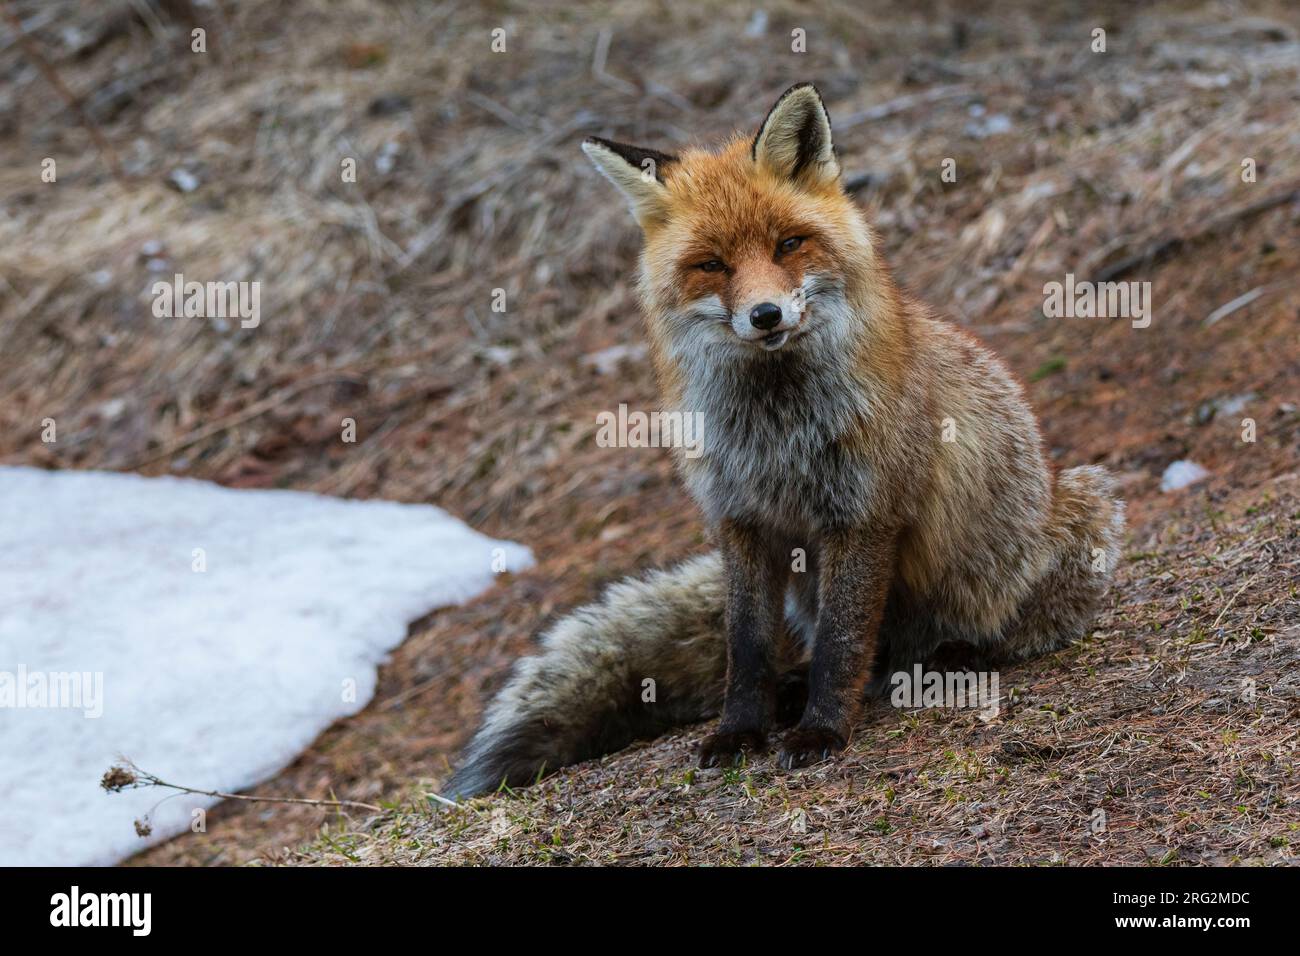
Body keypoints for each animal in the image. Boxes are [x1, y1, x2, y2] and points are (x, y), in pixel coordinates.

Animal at [444, 83, 1118, 801]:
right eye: (712, 265)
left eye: (789, 243)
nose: (765, 315)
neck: (777, 429)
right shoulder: (740, 520)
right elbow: (748, 650)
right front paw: (741, 731)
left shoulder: (863, 517)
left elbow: (841, 645)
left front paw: (821, 732)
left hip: (1077, 512)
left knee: (989, 633)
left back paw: (950, 657)